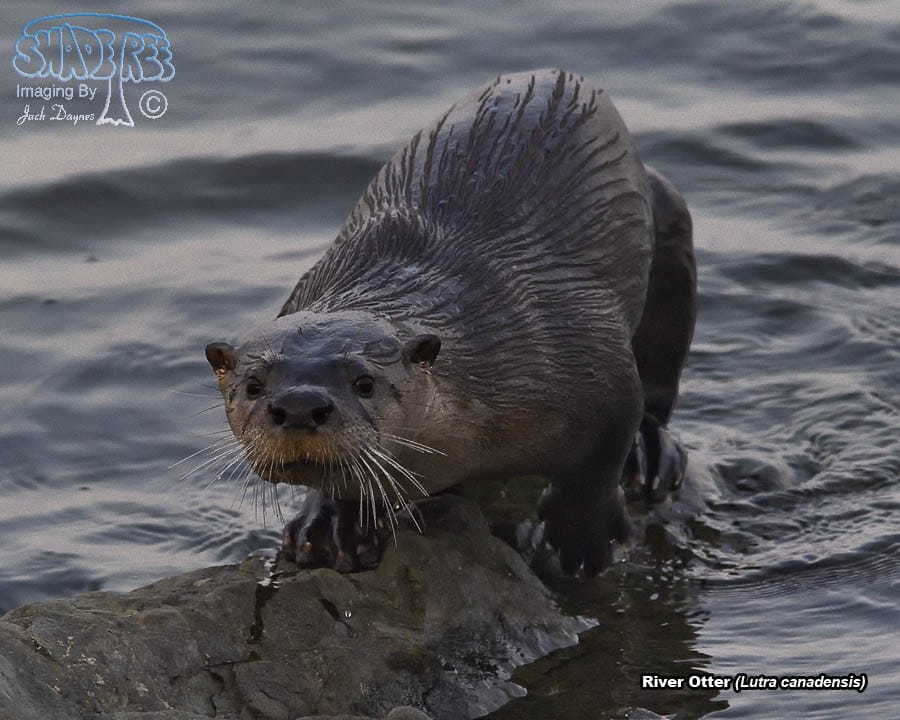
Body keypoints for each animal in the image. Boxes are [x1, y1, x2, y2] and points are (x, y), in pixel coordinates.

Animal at [205, 69, 696, 576]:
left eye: (365, 382)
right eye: (253, 385)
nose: (299, 406)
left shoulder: (587, 351)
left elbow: (601, 461)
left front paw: (576, 545)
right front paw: (330, 527)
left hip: (669, 222)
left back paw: (651, 456)